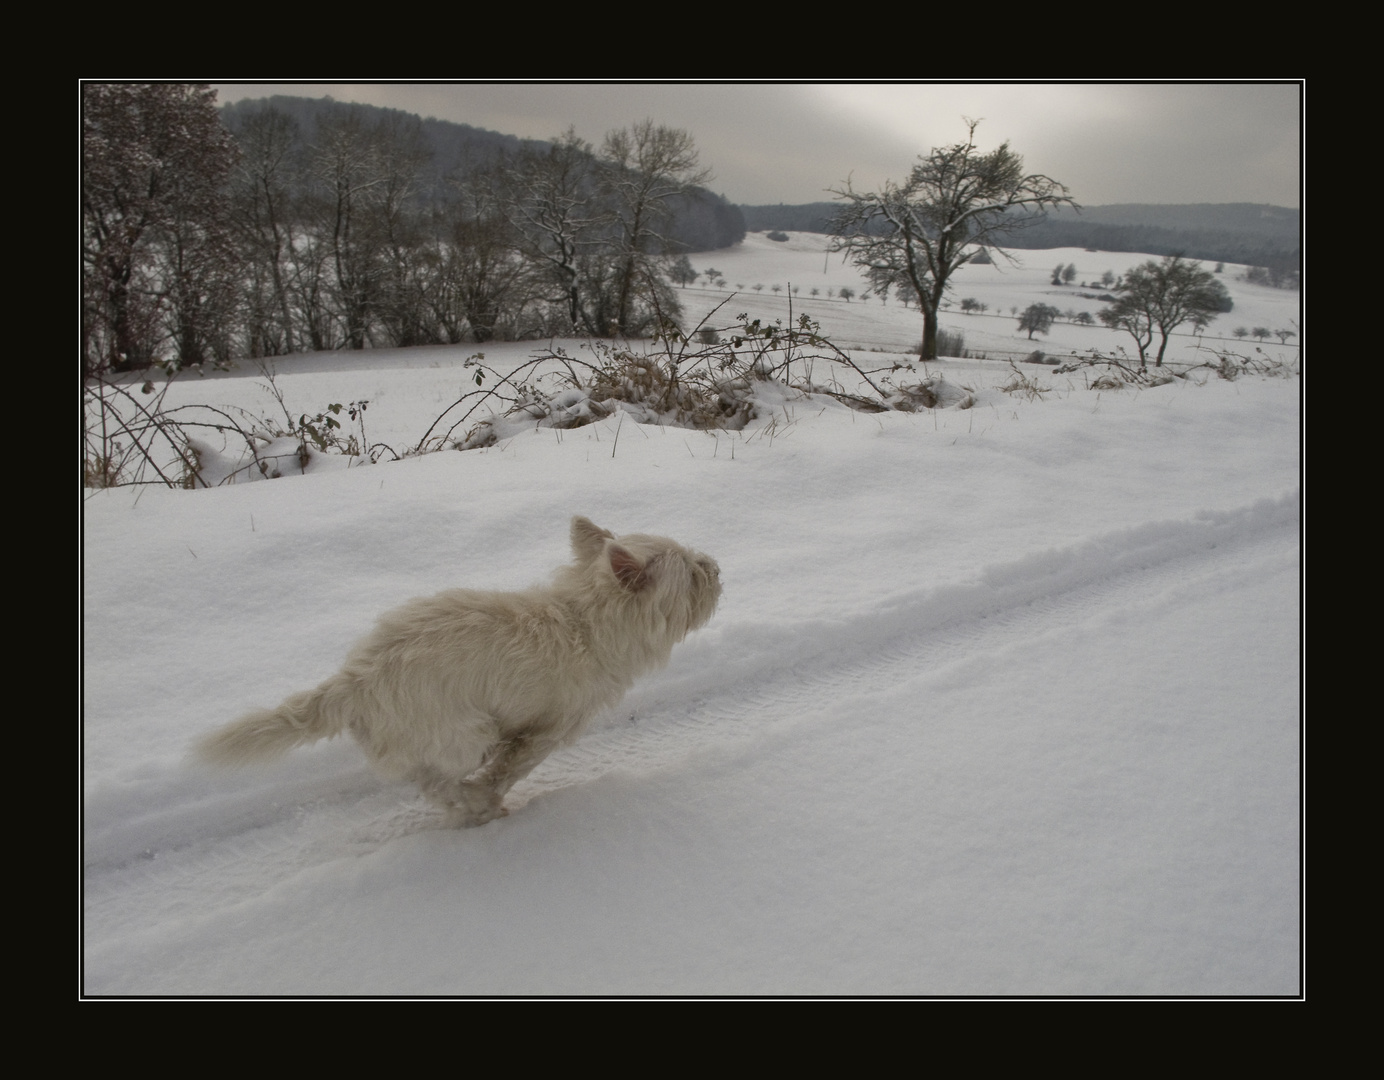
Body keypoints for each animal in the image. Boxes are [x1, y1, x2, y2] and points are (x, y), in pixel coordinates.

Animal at [204, 517, 725, 825]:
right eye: (691, 572)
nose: (717, 567)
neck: (586, 619)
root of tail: (354, 681)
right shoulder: (550, 729)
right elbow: (512, 766)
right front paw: (491, 795)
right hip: (464, 732)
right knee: (438, 778)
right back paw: (475, 804)